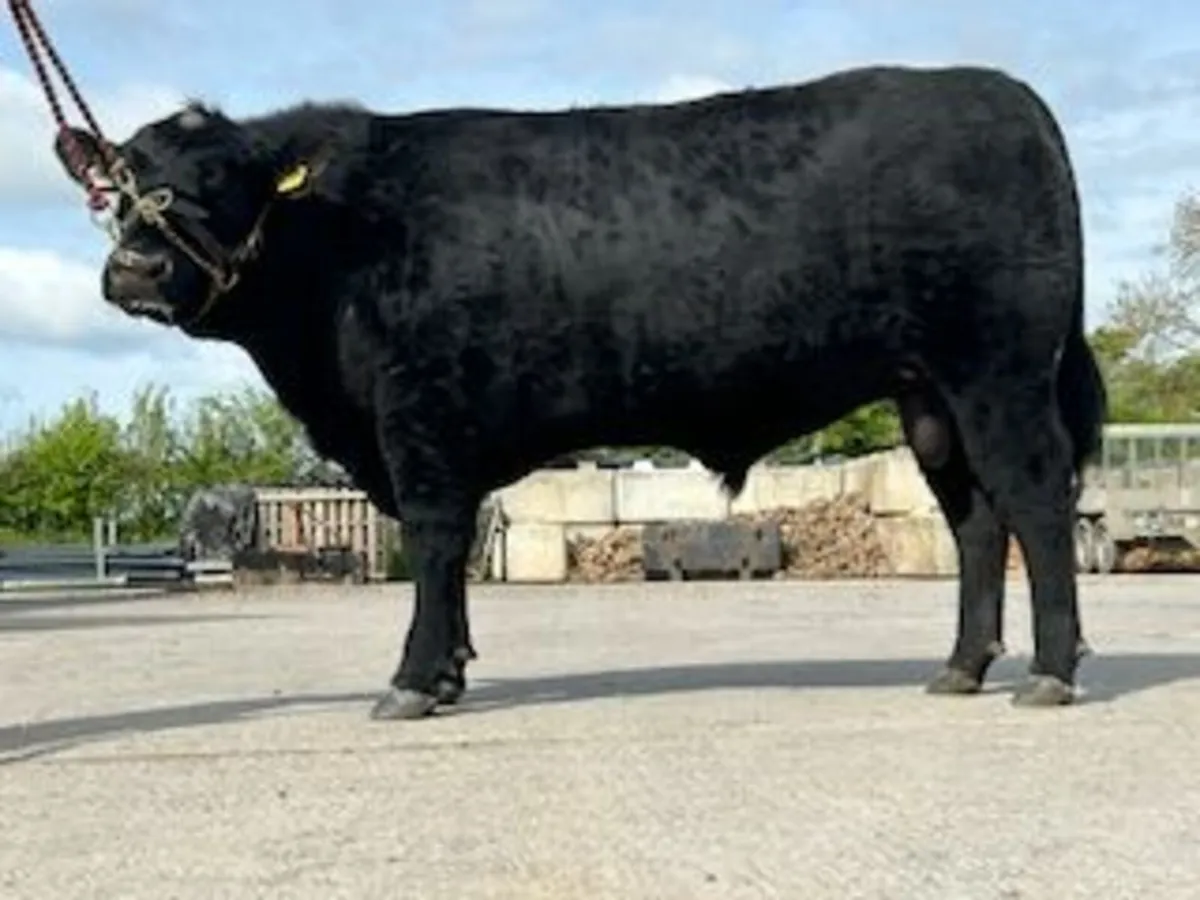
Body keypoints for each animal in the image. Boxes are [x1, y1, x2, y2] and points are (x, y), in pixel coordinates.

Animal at [51, 62, 1106, 720]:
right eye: (123, 178)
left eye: (224, 179)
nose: (136, 271)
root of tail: (1007, 94)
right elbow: (452, 555)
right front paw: (450, 672)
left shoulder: (421, 421)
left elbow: (434, 543)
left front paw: (412, 679)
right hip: (930, 400)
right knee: (976, 522)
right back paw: (961, 668)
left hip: (999, 376)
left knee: (1036, 503)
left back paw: (1050, 672)